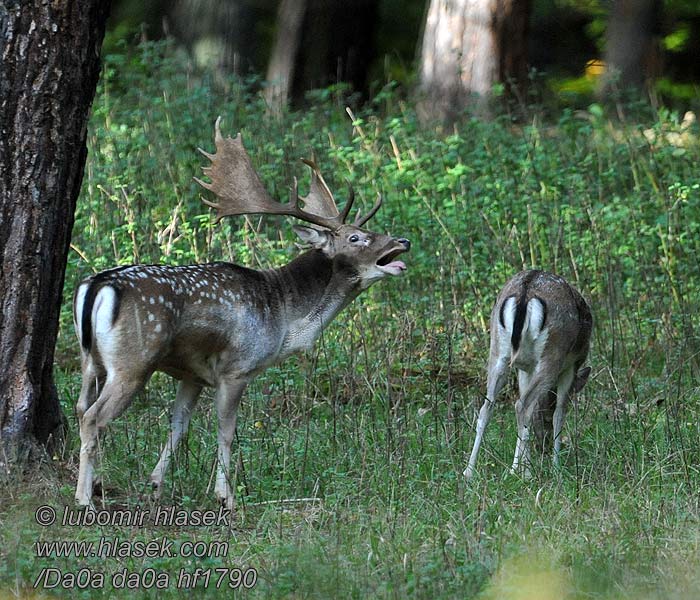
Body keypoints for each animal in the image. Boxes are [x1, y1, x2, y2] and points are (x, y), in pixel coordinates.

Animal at [72, 118, 410, 510]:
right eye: (356, 237)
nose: (403, 241)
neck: (284, 316)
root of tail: (96, 285)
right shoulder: (237, 368)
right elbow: (227, 431)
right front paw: (226, 496)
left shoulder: (193, 375)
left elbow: (178, 426)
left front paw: (154, 485)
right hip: (132, 363)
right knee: (94, 418)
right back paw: (84, 499)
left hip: (91, 361)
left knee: (80, 407)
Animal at [464, 270, 592, 480]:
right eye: (545, 420)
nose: (544, 447)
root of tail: (525, 291)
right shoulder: (572, 365)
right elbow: (559, 412)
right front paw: (556, 468)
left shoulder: (525, 368)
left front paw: (518, 465)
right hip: (552, 354)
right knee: (522, 405)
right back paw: (527, 475)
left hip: (497, 351)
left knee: (488, 407)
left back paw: (469, 471)